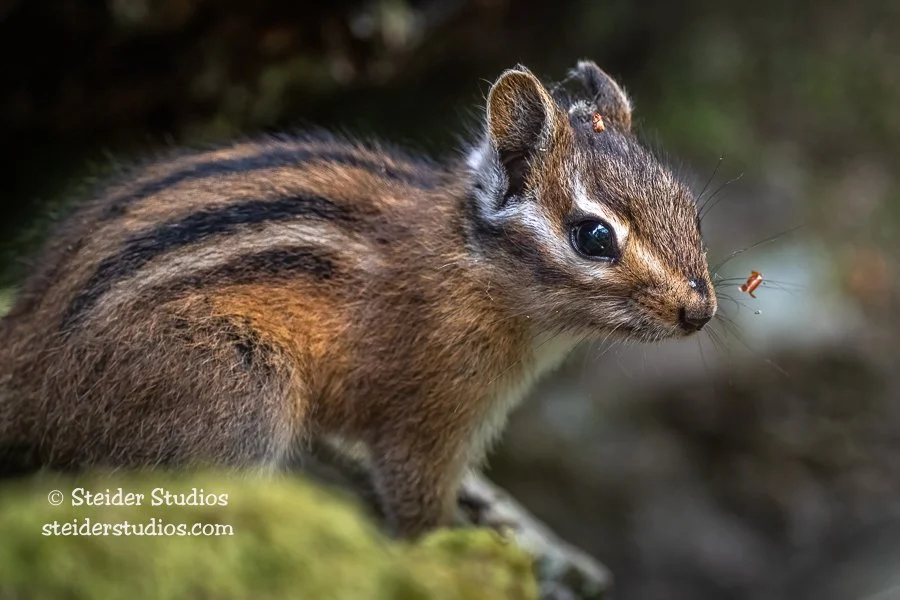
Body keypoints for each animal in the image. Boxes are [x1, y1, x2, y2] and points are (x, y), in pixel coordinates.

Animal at [0, 60, 716, 538]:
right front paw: (450, 546)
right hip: (238, 389)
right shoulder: (427, 421)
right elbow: (417, 505)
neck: (472, 265)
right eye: (594, 237)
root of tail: (27, 360)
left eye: (691, 210)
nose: (701, 311)